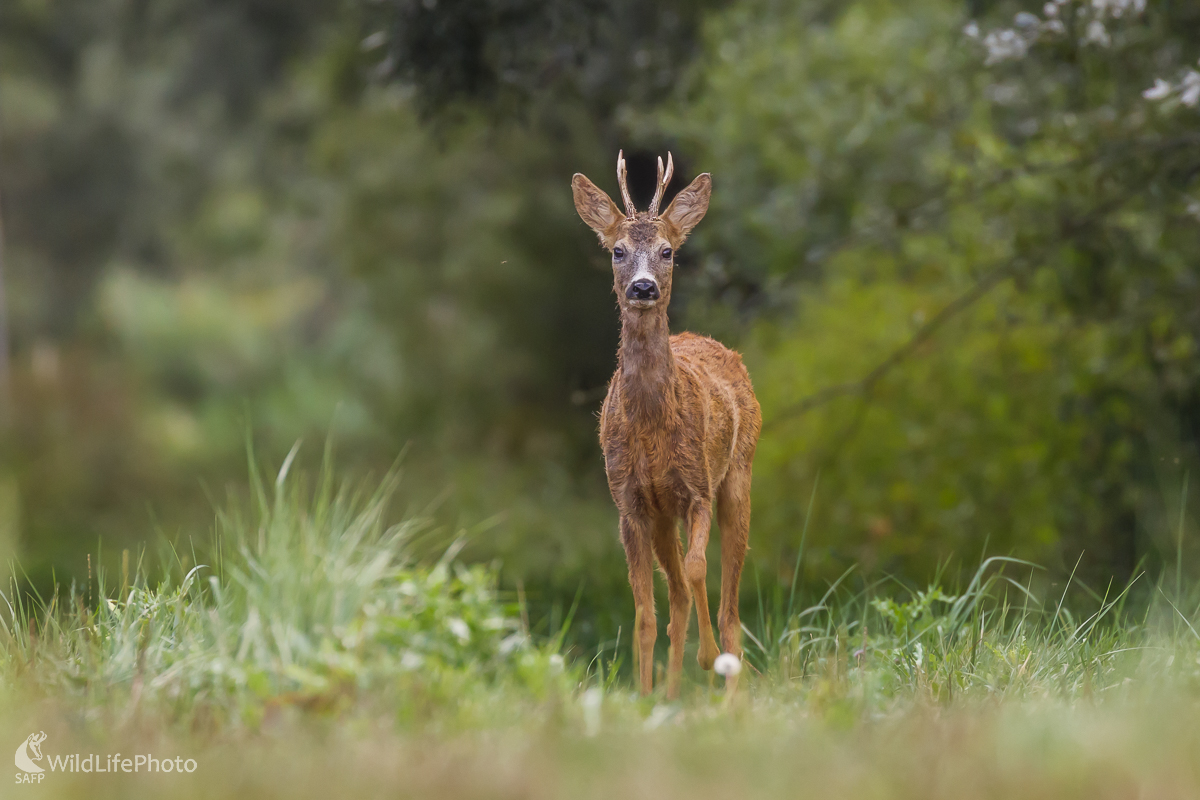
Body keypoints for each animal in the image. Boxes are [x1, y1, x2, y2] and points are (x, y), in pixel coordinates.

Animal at [571, 153, 758, 695]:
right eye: (616, 250)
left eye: (668, 250)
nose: (643, 286)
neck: (653, 428)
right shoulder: (630, 502)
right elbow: (644, 613)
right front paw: (645, 695)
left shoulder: (697, 488)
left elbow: (698, 569)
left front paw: (709, 658)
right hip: (661, 515)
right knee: (673, 595)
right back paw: (672, 694)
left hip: (739, 474)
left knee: (729, 604)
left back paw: (730, 680)